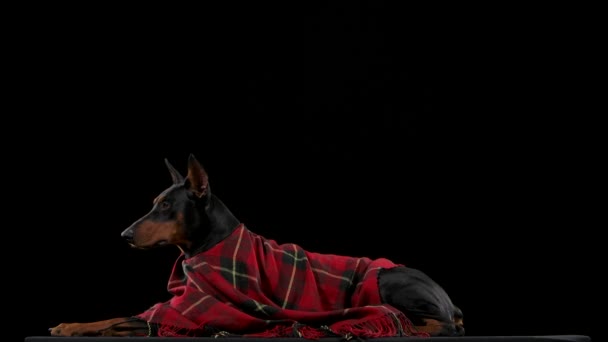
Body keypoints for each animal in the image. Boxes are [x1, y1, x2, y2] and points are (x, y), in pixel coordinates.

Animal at [48, 156, 466, 338]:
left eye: (166, 206)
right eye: (154, 202)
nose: (125, 235)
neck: (210, 247)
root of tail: (448, 297)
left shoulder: (199, 312)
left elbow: (121, 319)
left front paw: (71, 327)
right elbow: (115, 318)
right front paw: (71, 324)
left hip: (390, 282)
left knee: (442, 324)